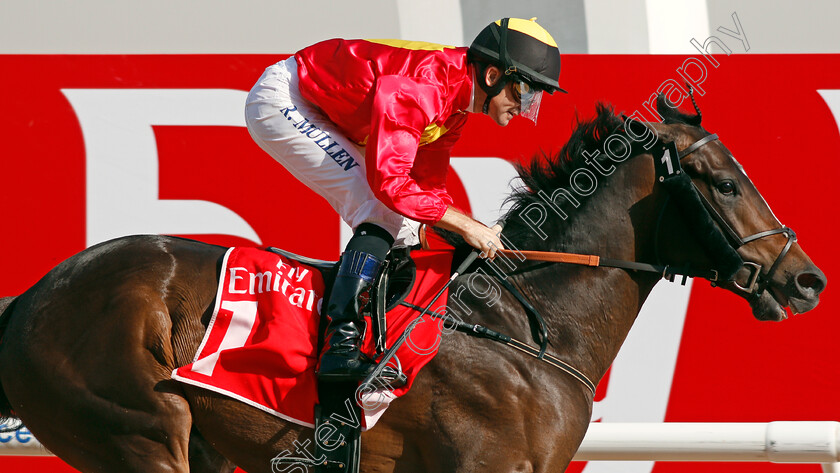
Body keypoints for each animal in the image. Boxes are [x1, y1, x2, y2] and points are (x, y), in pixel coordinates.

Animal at [0, 97, 828, 470]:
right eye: (725, 182)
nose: (807, 279)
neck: (529, 329)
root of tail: (28, 300)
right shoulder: (481, 463)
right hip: (134, 428)